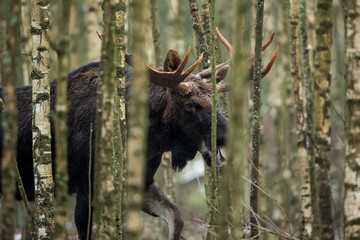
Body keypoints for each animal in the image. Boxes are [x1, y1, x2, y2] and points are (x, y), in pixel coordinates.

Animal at [0, 27, 278, 238]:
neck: (151, 142)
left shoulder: (143, 183)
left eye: (215, 99)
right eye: (190, 104)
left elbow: (176, 218)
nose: (228, 134)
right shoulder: (87, 185)